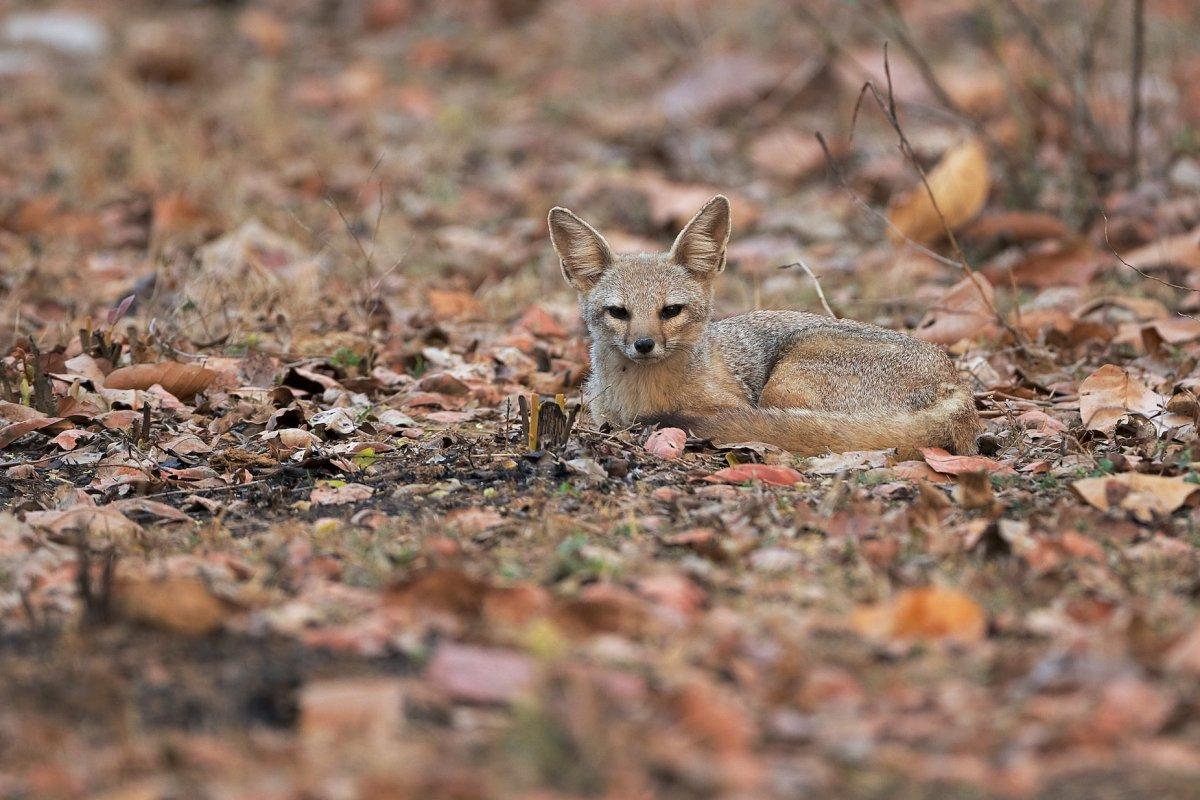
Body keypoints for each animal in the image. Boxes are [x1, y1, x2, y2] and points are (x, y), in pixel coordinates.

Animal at [549, 194, 979, 455]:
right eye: (618, 312)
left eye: (670, 311)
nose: (643, 344)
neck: (640, 395)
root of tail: (956, 384)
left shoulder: (734, 403)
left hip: (784, 384)